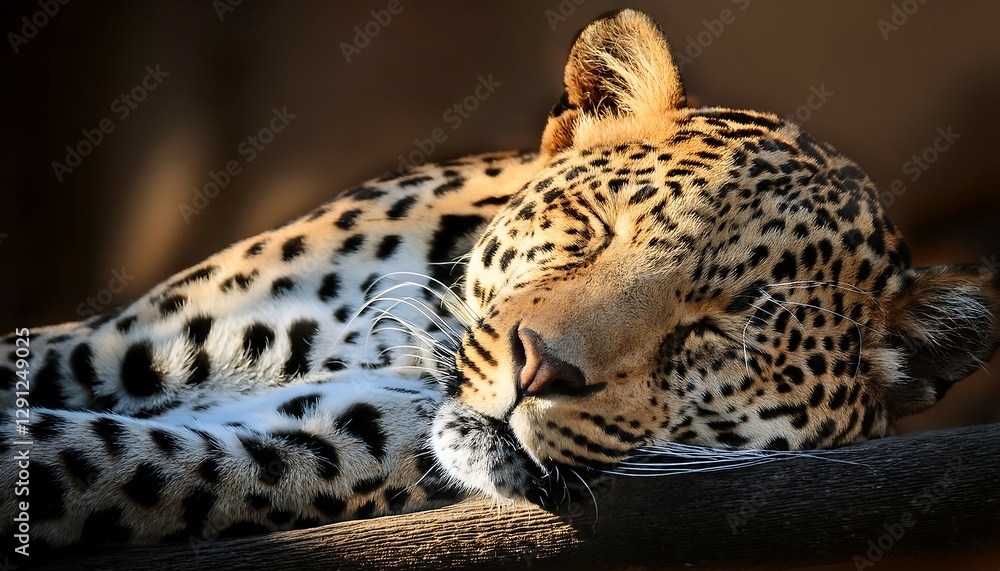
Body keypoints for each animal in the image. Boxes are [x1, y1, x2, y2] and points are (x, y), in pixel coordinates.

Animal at [3, 8, 999, 559]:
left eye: (721, 330)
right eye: (595, 229)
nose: (537, 368)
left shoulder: (314, 444)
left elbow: (85, 457)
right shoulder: (107, 346)